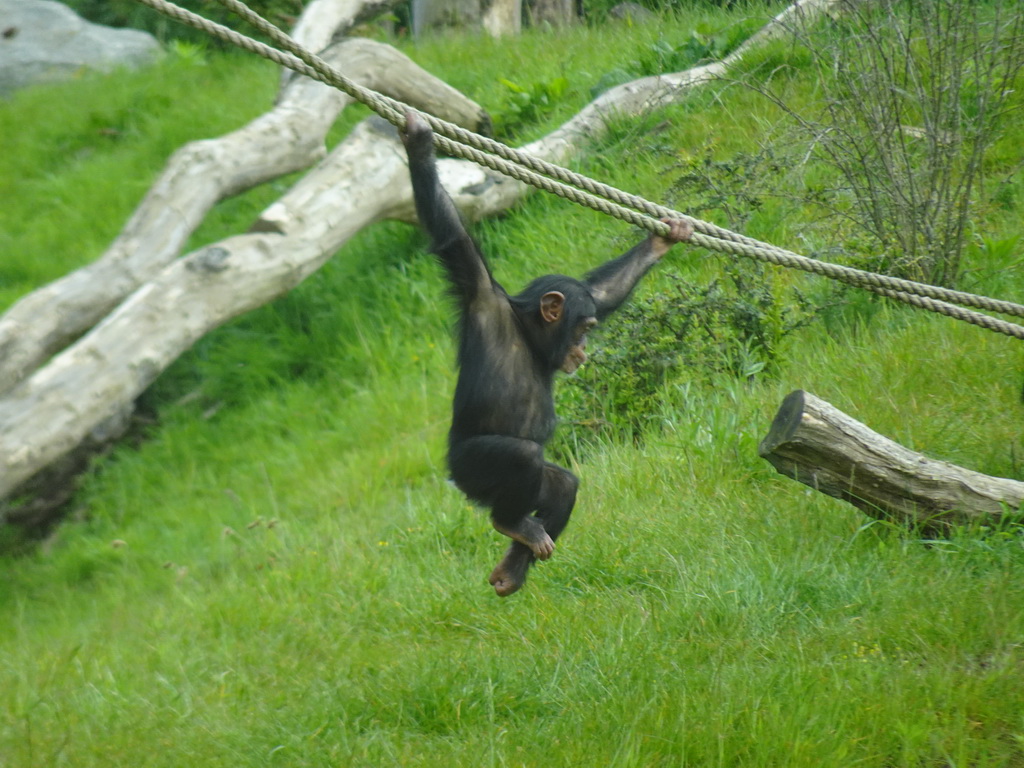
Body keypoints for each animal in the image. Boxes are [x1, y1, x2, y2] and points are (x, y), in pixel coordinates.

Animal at [401, 111, 696, 598]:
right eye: (582, 329)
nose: (584, 348)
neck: (526, 332)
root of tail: (466, 489)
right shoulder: (481, 293)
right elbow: (452, 237)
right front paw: (419, 143)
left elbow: (604, 291)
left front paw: (663, 240)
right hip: (470, 467)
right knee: (523, 457)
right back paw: (510, 524)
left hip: (516, 487)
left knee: (563, 486)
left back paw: (513, 565)